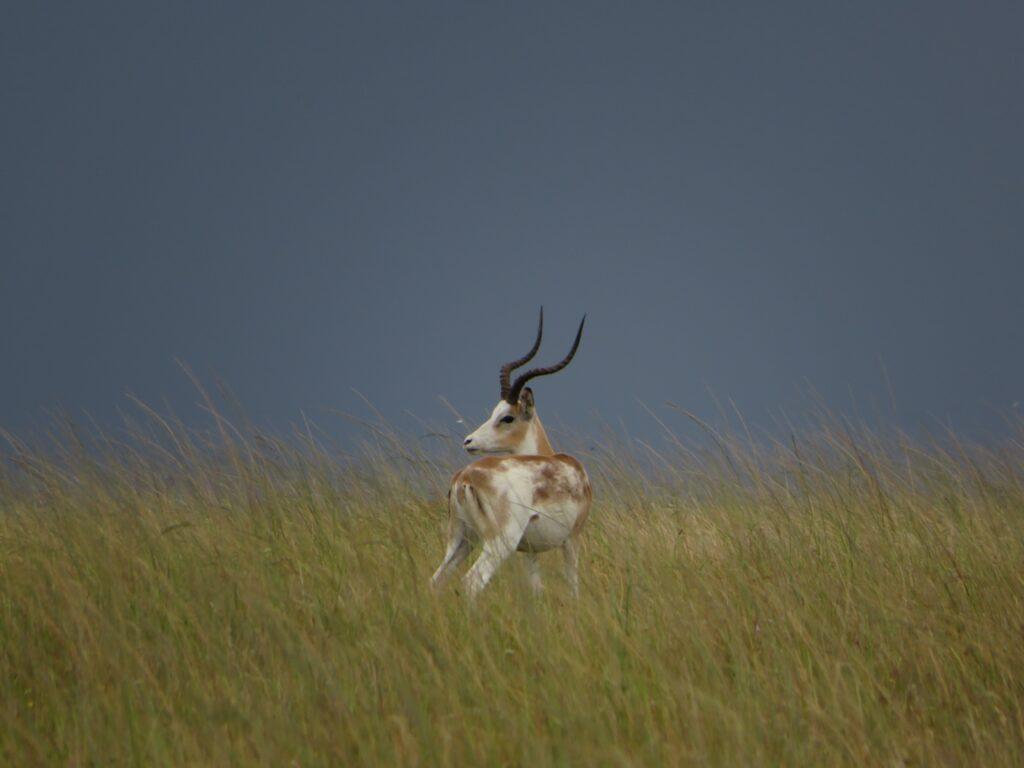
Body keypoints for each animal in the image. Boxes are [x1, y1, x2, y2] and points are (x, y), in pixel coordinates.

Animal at [431, 309, 592, 599]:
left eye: (506, 416)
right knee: (471, 582)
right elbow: (573, 586)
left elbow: (535, 590)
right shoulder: (572, 539)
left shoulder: (529, 551)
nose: (468, 441)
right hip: (498, 544)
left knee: (436, 581)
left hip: (461, 540)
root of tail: (465, 478)